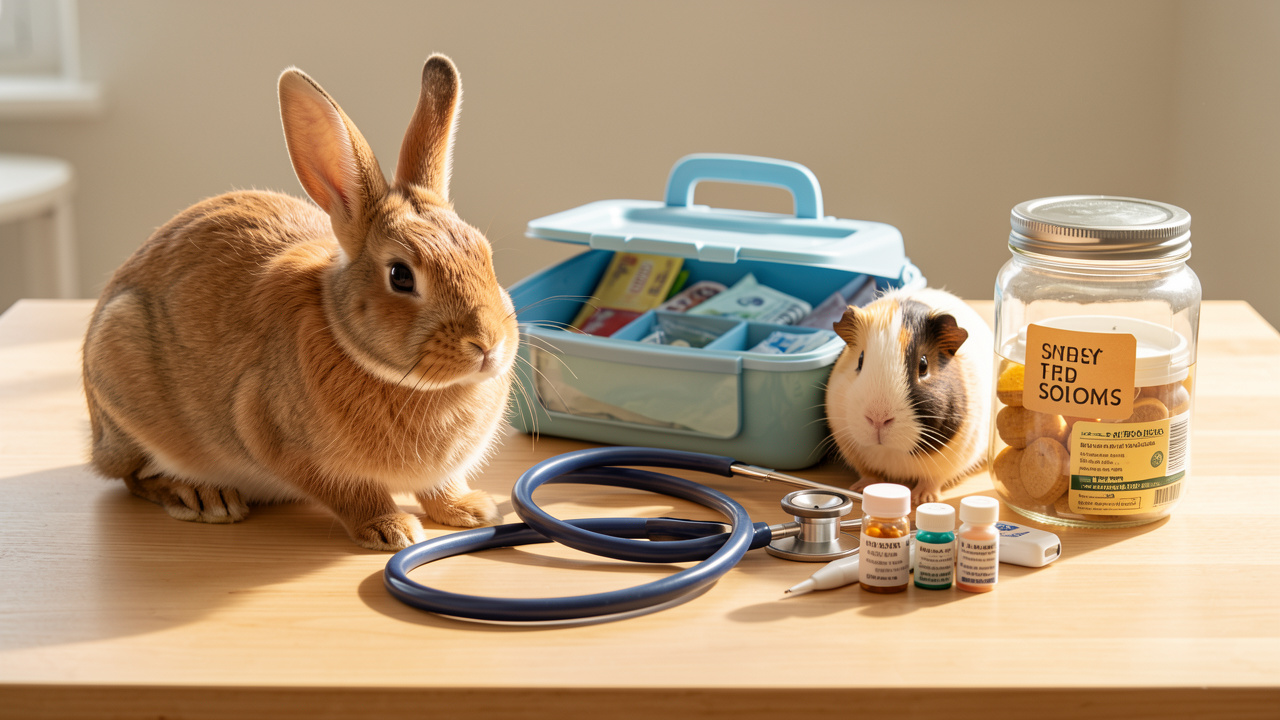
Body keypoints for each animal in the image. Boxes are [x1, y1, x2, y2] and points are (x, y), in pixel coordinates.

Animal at [81, 54, 519, 551]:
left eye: (485, 254)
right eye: (401, 276)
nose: (487, 345)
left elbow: (439, 487)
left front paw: (470, 511)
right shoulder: (282, 441)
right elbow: (352, 493)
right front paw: (392, 530)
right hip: (122, 365)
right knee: (134, 476)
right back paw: (203, 497)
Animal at [824, 287, 993, 505]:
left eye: (923, 365)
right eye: (860, 360)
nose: (878, 419)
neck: (891, 452)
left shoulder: (949, 462)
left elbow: (932, 480)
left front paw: (922, 499)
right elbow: (870, 474)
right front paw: (861, 489)